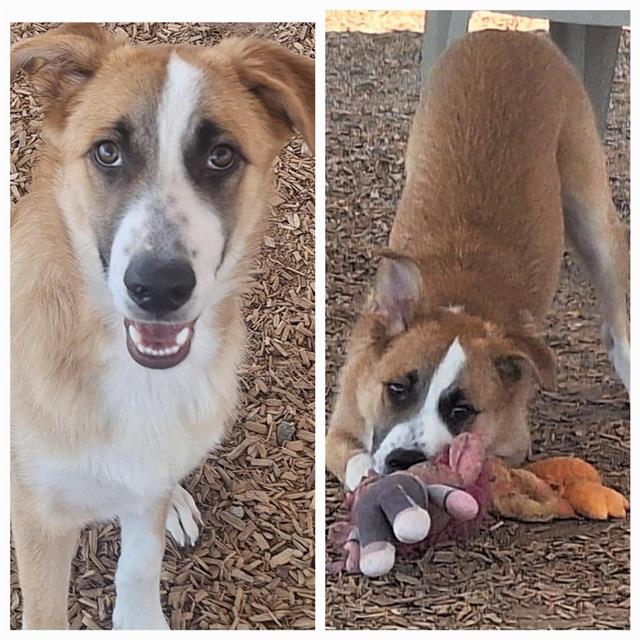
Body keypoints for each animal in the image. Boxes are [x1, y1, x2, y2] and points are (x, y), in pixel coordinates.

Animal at [328, 30, 628, 492]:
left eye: (460, 410)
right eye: (397, 388)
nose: (404, 460)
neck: (458, 305)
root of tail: (512, 33)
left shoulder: (513, 442)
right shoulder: (339, 428)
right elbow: (359, 460)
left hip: (593, 215)